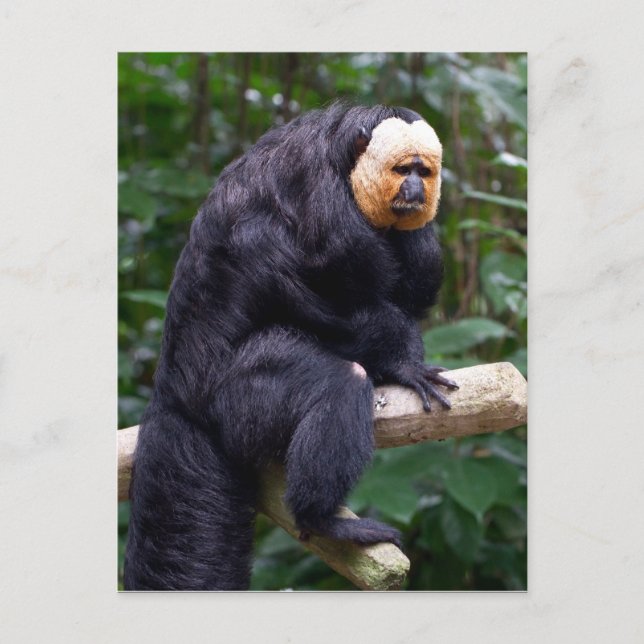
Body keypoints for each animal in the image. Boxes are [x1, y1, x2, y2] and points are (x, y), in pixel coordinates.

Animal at [123, 103, 457, 590]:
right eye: (403, 169)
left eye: (424, 171)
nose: (415, 189)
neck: (343, 162)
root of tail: (173, 390)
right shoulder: (324, 205)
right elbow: (323, 303)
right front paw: (404, 363)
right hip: (235, 397)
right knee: (339, 382)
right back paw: (321, 517)